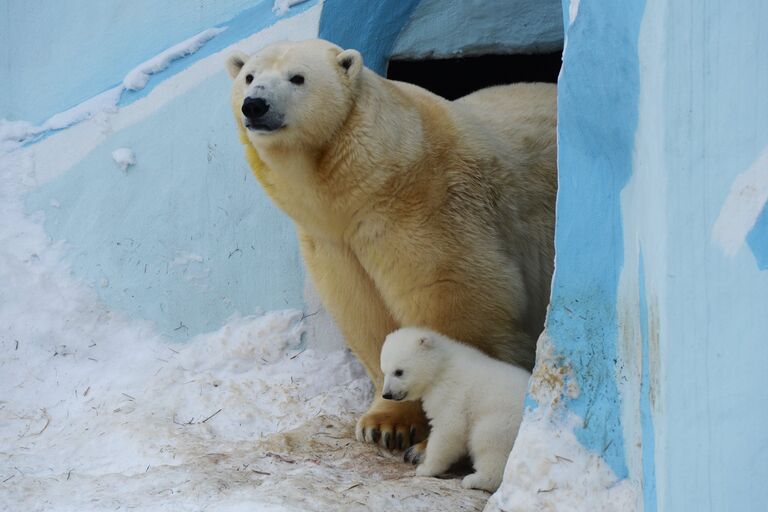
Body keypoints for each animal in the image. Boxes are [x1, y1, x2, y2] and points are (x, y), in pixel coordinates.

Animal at [225, 41, 556, 452]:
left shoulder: (428, 210)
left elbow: (457, 305)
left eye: (297, 77)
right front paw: (384, 424)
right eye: (249, 76)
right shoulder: (333, 240)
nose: (255, 105)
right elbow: (364, 311)